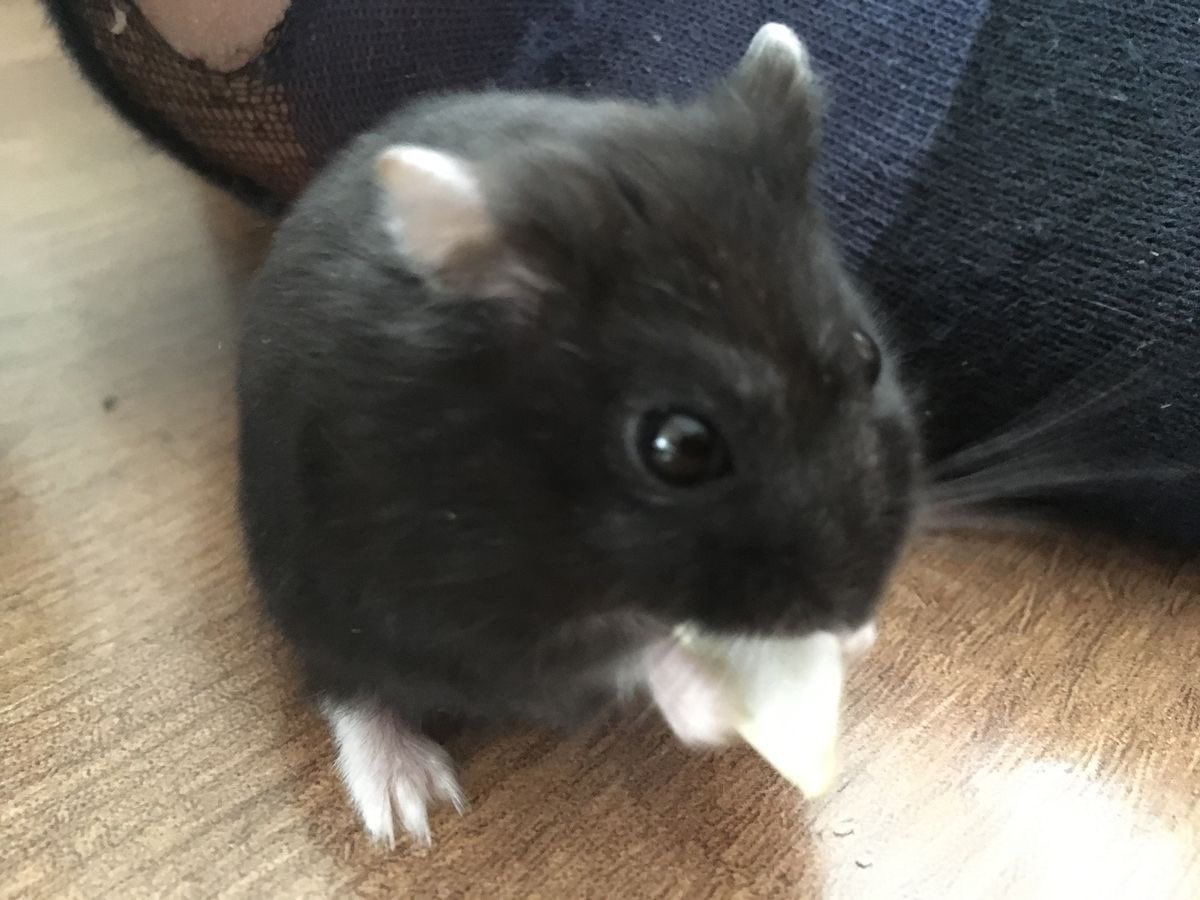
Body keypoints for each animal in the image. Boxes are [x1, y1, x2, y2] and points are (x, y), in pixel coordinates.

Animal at [236, 23, 921, 846]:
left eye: (867, 355)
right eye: (678, 449)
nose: (853, 611)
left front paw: (855, 644)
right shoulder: (470, 615)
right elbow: (625, 649)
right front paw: (716, 701)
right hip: (315, 602)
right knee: (346, 688)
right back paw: (409, 805)